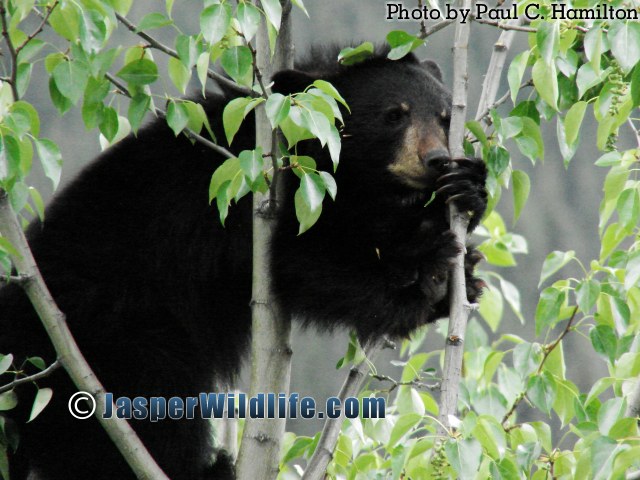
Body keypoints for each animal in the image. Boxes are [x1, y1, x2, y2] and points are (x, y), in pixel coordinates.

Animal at [0, 46, 488, 480]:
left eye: (445, 116)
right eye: (394, 115)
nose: (436, 160)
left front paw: (466, 199)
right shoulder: (247, 196)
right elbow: (306, 263)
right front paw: (429, 272)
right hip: (113, 346)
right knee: (151, 420)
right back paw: (208, 468)